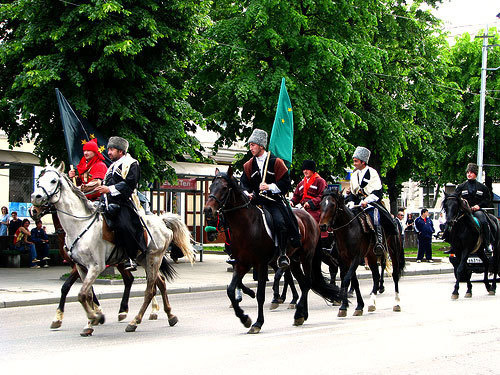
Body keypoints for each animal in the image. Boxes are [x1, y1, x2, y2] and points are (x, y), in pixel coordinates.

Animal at [31, 166, 193, 336]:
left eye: (53, 180)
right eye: (38, 181)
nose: (35, 200)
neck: (79, 225)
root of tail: (161, 221)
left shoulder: (95, 266)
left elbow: (79, 293)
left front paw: (94, 317)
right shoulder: (81, 267)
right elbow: (86, 294)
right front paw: (91, 321)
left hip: (153, 258)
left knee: (150, 289)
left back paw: (134, 321)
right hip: (142, 259)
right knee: (158, 282)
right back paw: (169, 315)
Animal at [203, 169, 344, 336]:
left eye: (224, 188)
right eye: (211, 186)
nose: (208, 210)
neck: (247, 225)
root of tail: (312, 219)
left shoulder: (261, 264)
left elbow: (261, 294)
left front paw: (258, 322)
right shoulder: (241, 263)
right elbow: (231, 289)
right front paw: (244, 318)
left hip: (307, 257)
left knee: (309, 281)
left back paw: (299, 311)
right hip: (294, 261)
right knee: (304, 282)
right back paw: (302, 314)